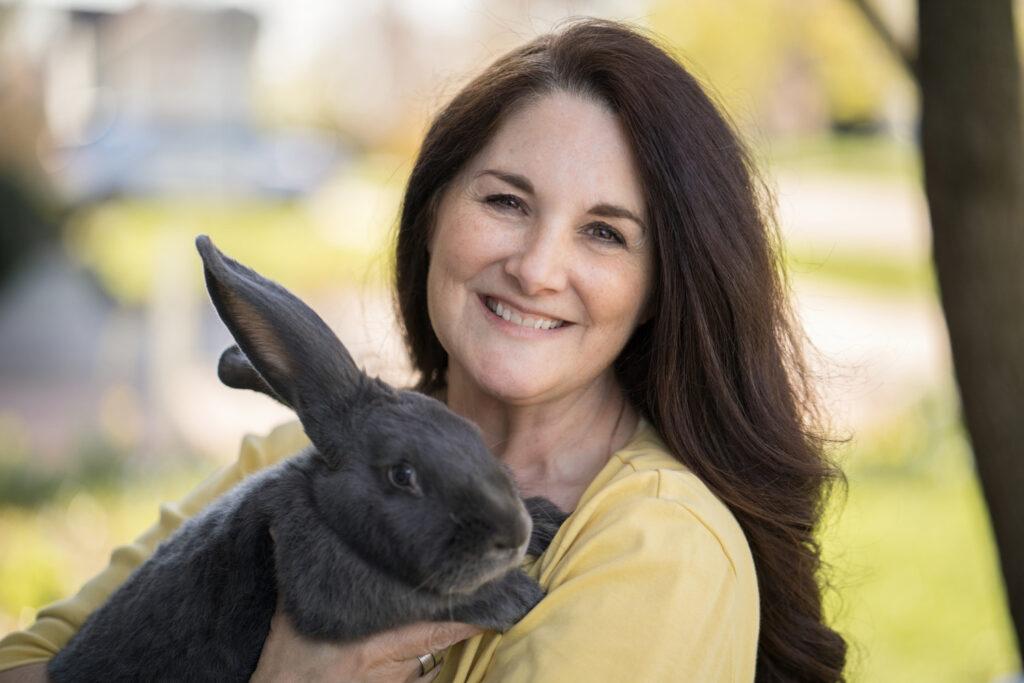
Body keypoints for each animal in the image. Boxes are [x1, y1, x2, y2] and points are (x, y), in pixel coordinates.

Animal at [48, 236, 569, 683]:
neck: (326, 507)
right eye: (402, 475)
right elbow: (421, 600)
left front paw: (547, 520)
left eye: (472, 434)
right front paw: (516, 597)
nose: (513, 534)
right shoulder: (339, 588)